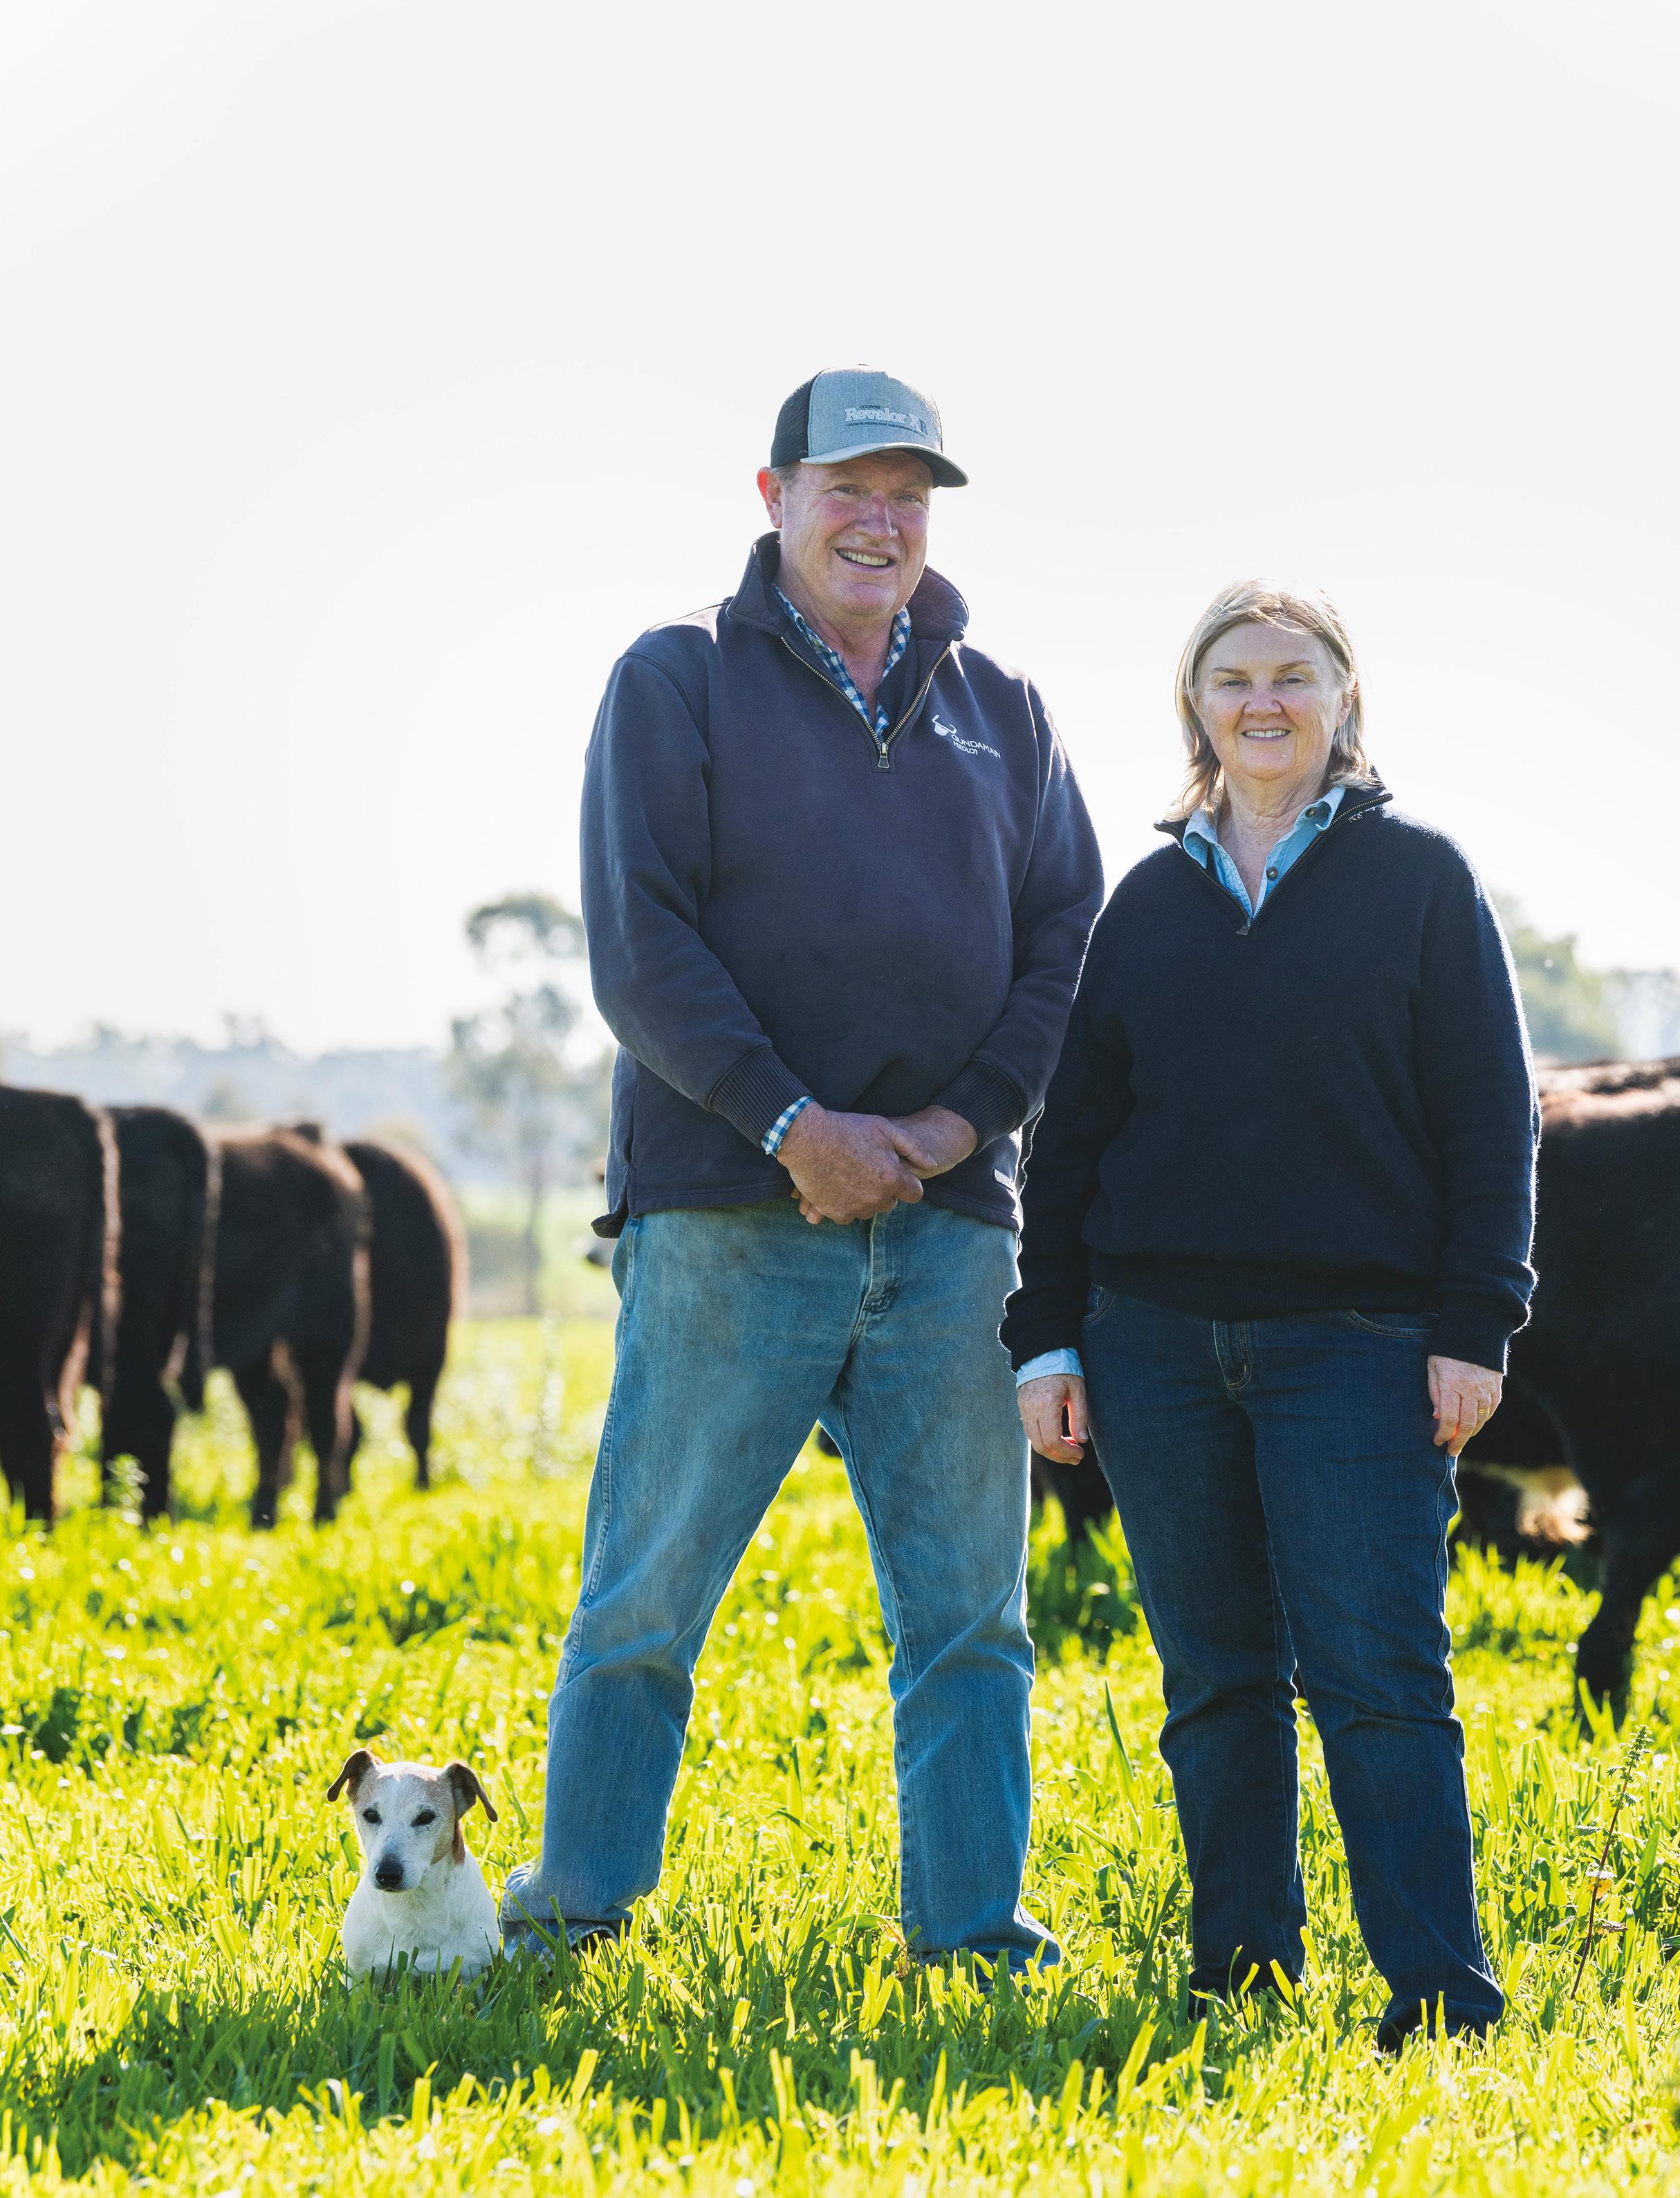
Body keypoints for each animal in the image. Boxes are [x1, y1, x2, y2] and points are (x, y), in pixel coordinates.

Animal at [328, 1749, 501, 1978]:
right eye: (371, 1815)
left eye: (426, 1817)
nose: (387, 1874)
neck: (414, 1903)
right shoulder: (360, 1972)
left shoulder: (471, 1971)